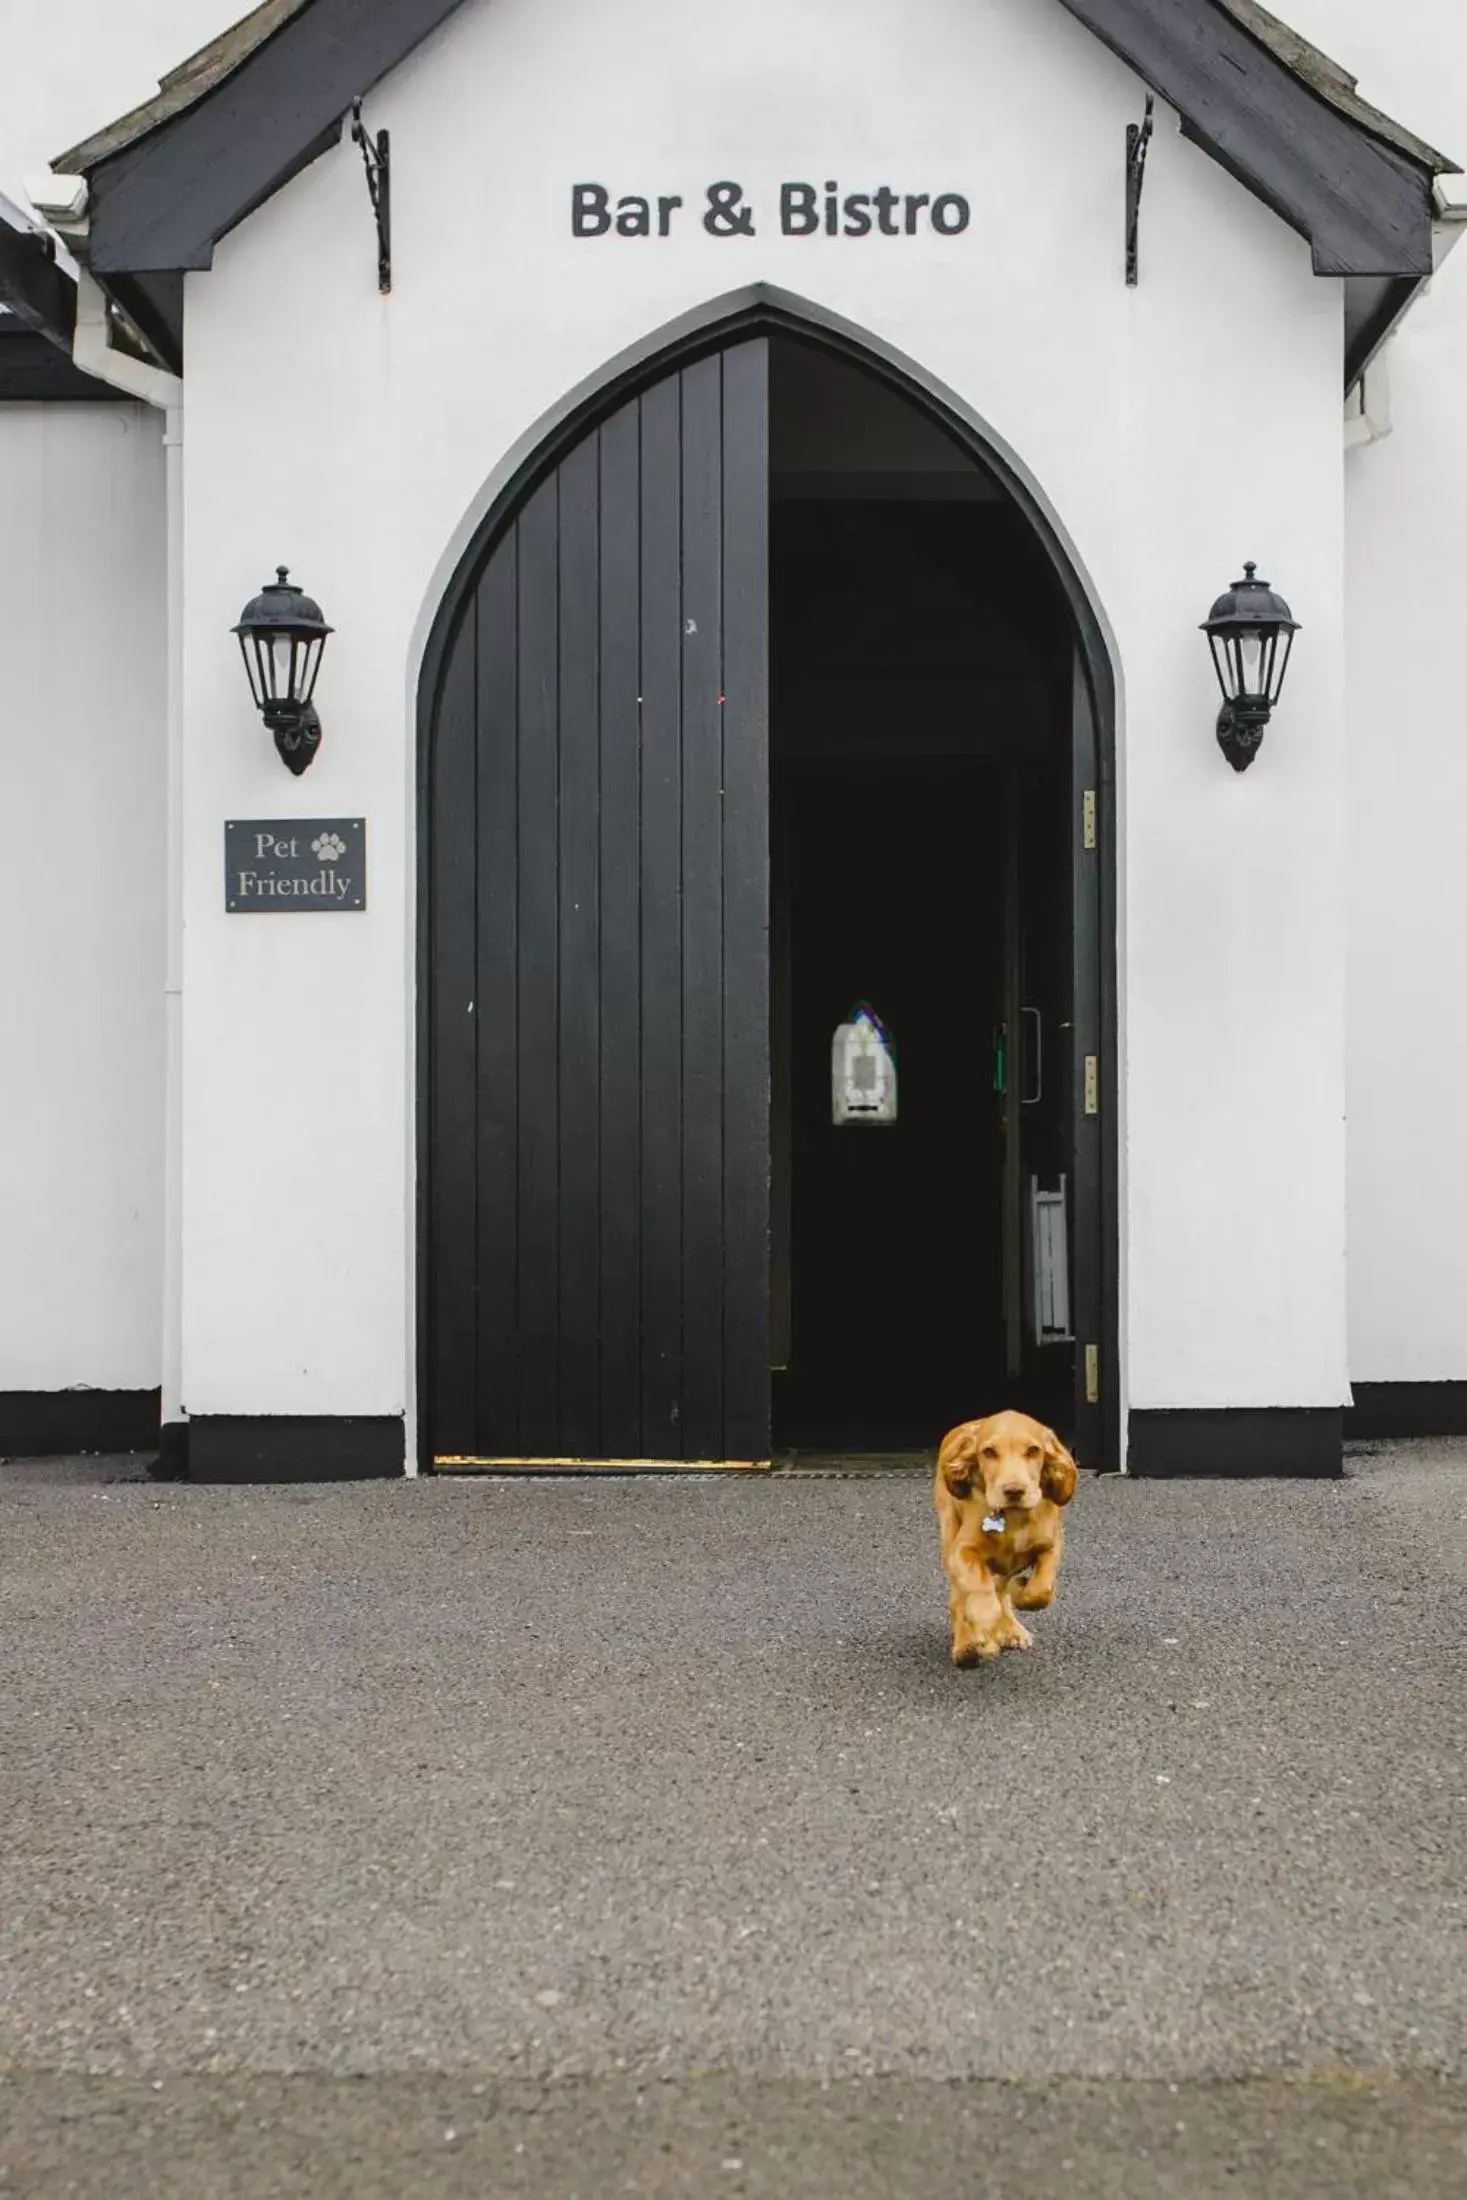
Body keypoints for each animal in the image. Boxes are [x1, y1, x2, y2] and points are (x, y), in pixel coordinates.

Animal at [941, 1408, 1077, 1663]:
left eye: (1033, 1450)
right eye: (989, 1452)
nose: (1014, 1490)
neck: (1013, 1517)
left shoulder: (1053, 1544)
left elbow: (1041, 1590)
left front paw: (1021, 1590)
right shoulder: (961, 1550)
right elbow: (978, 1584)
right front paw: (984, 1625)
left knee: (1001, 1588)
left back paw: (1012, 1630)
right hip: (948, 1532)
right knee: (960, 1597)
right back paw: (966, 1646)